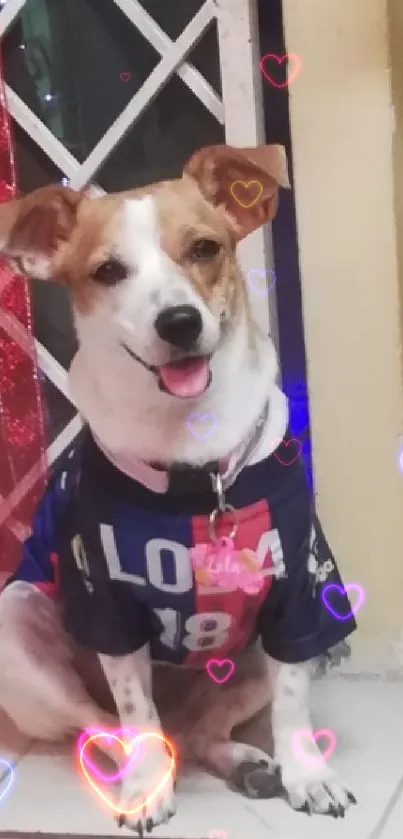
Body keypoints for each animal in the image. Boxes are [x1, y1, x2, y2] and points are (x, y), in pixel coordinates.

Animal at [0, 144, 356, 832]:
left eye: (205, 248)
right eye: (108, 271)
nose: (180, 322)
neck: (197, 463)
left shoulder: (300, 595)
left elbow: (292, 702)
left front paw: (307, 775)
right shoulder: (109, 613)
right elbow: (135, 714)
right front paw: (147, 788)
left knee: (194, 729)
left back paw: (245, 762)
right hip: (16, 630)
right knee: (112, 725)